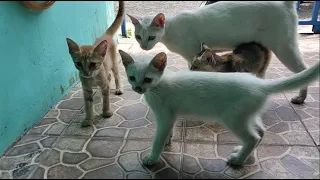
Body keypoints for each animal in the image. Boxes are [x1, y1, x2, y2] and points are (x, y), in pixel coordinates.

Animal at [118, 48, 320, 166]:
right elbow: (167, 132)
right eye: (132, 78)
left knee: (253, 137)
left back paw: (238, 160)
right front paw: (168, 140)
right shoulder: (171, 115)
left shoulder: (165, 116)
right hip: (247, 115)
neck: (157, 87)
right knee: (261, 132)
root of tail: (260, 83)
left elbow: (157, 139)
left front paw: (152, 158)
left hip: (233, 118)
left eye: (147, 79)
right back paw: (244, 154)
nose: (137, 88)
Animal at [127, 1, 310, 105]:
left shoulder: (192, 55)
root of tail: (284, 3)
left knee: (304, 70)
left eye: (151, 37)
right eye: (138, 37)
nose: (144, 47)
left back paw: (301, 98)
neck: (171, 30)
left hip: (285, 49)